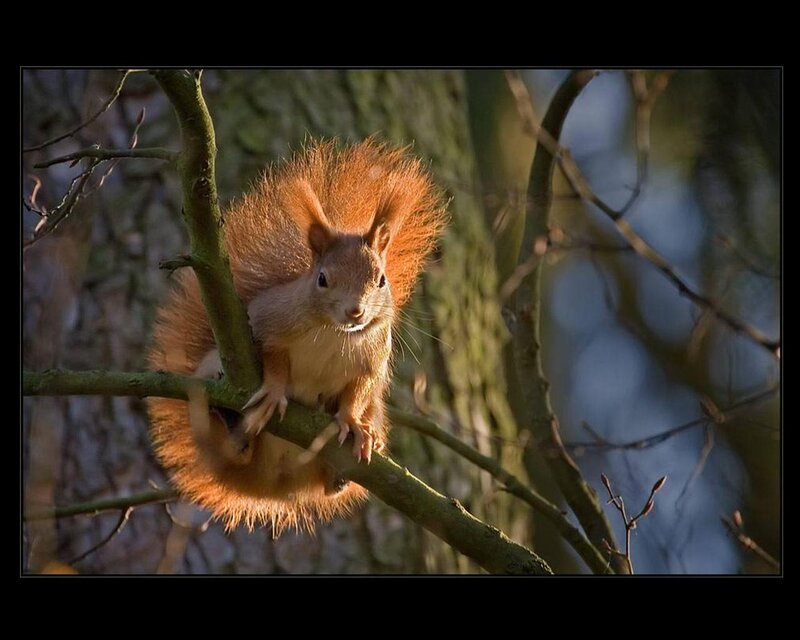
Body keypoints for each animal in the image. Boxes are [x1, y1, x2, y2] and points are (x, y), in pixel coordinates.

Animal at [147, 139, 446, 534]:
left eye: (381, 280)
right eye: (322, 279)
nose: (355, 312)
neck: (335, 333)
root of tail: (273, 485)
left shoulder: (372, 362)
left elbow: (357, 391)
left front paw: (352, 422)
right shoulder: (269, 326)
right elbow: (274, 361)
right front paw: (274, 393)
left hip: (374, 412)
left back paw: (349, 465)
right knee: (232, 448)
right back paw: (229, 418)